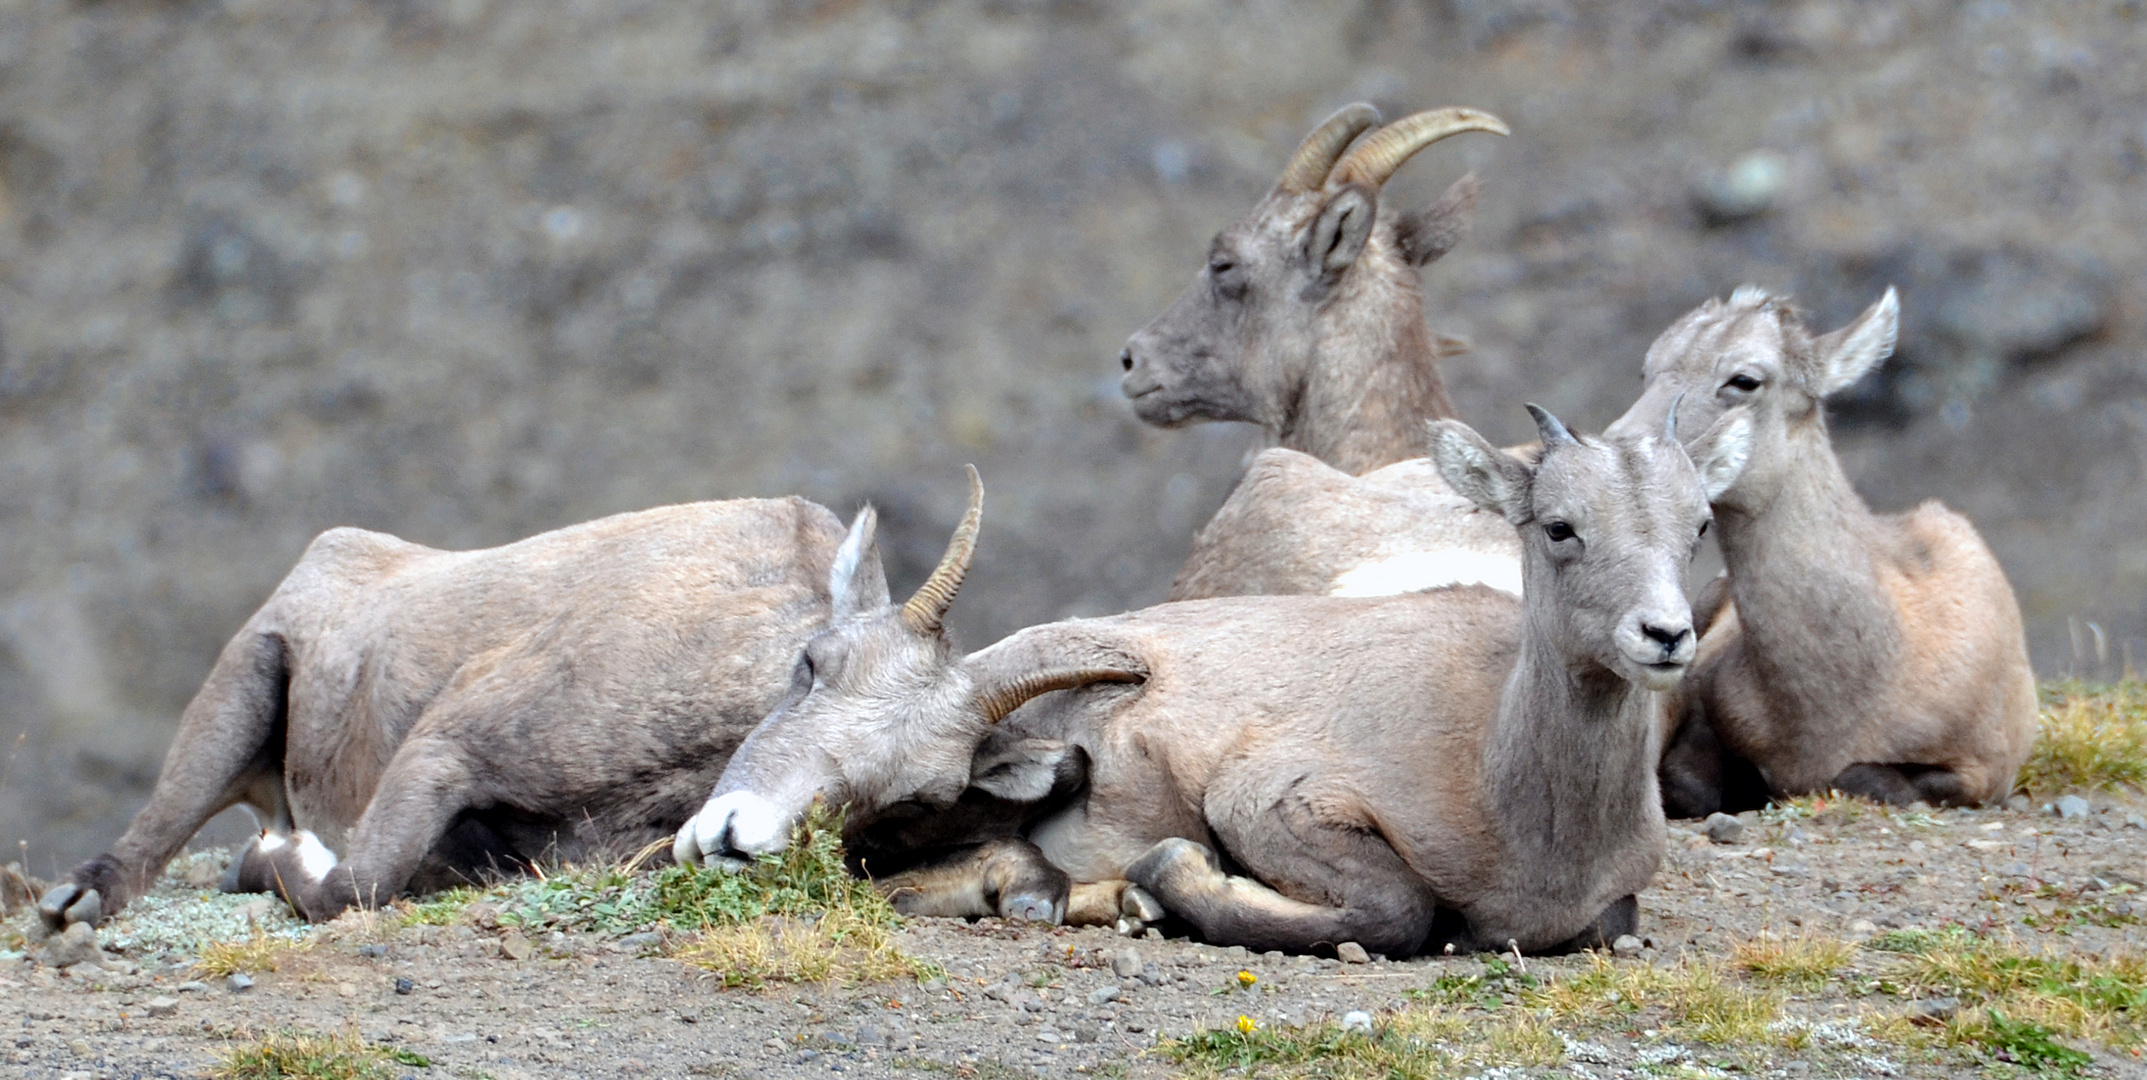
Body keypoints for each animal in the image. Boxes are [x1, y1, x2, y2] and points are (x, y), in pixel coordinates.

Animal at [678, 407, 1751, 953]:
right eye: (810, 666)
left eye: (1700, 524)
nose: (731, 837)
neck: (1510, 797)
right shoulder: (1272, 801)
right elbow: (1396, 914)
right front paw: (1165, 880)